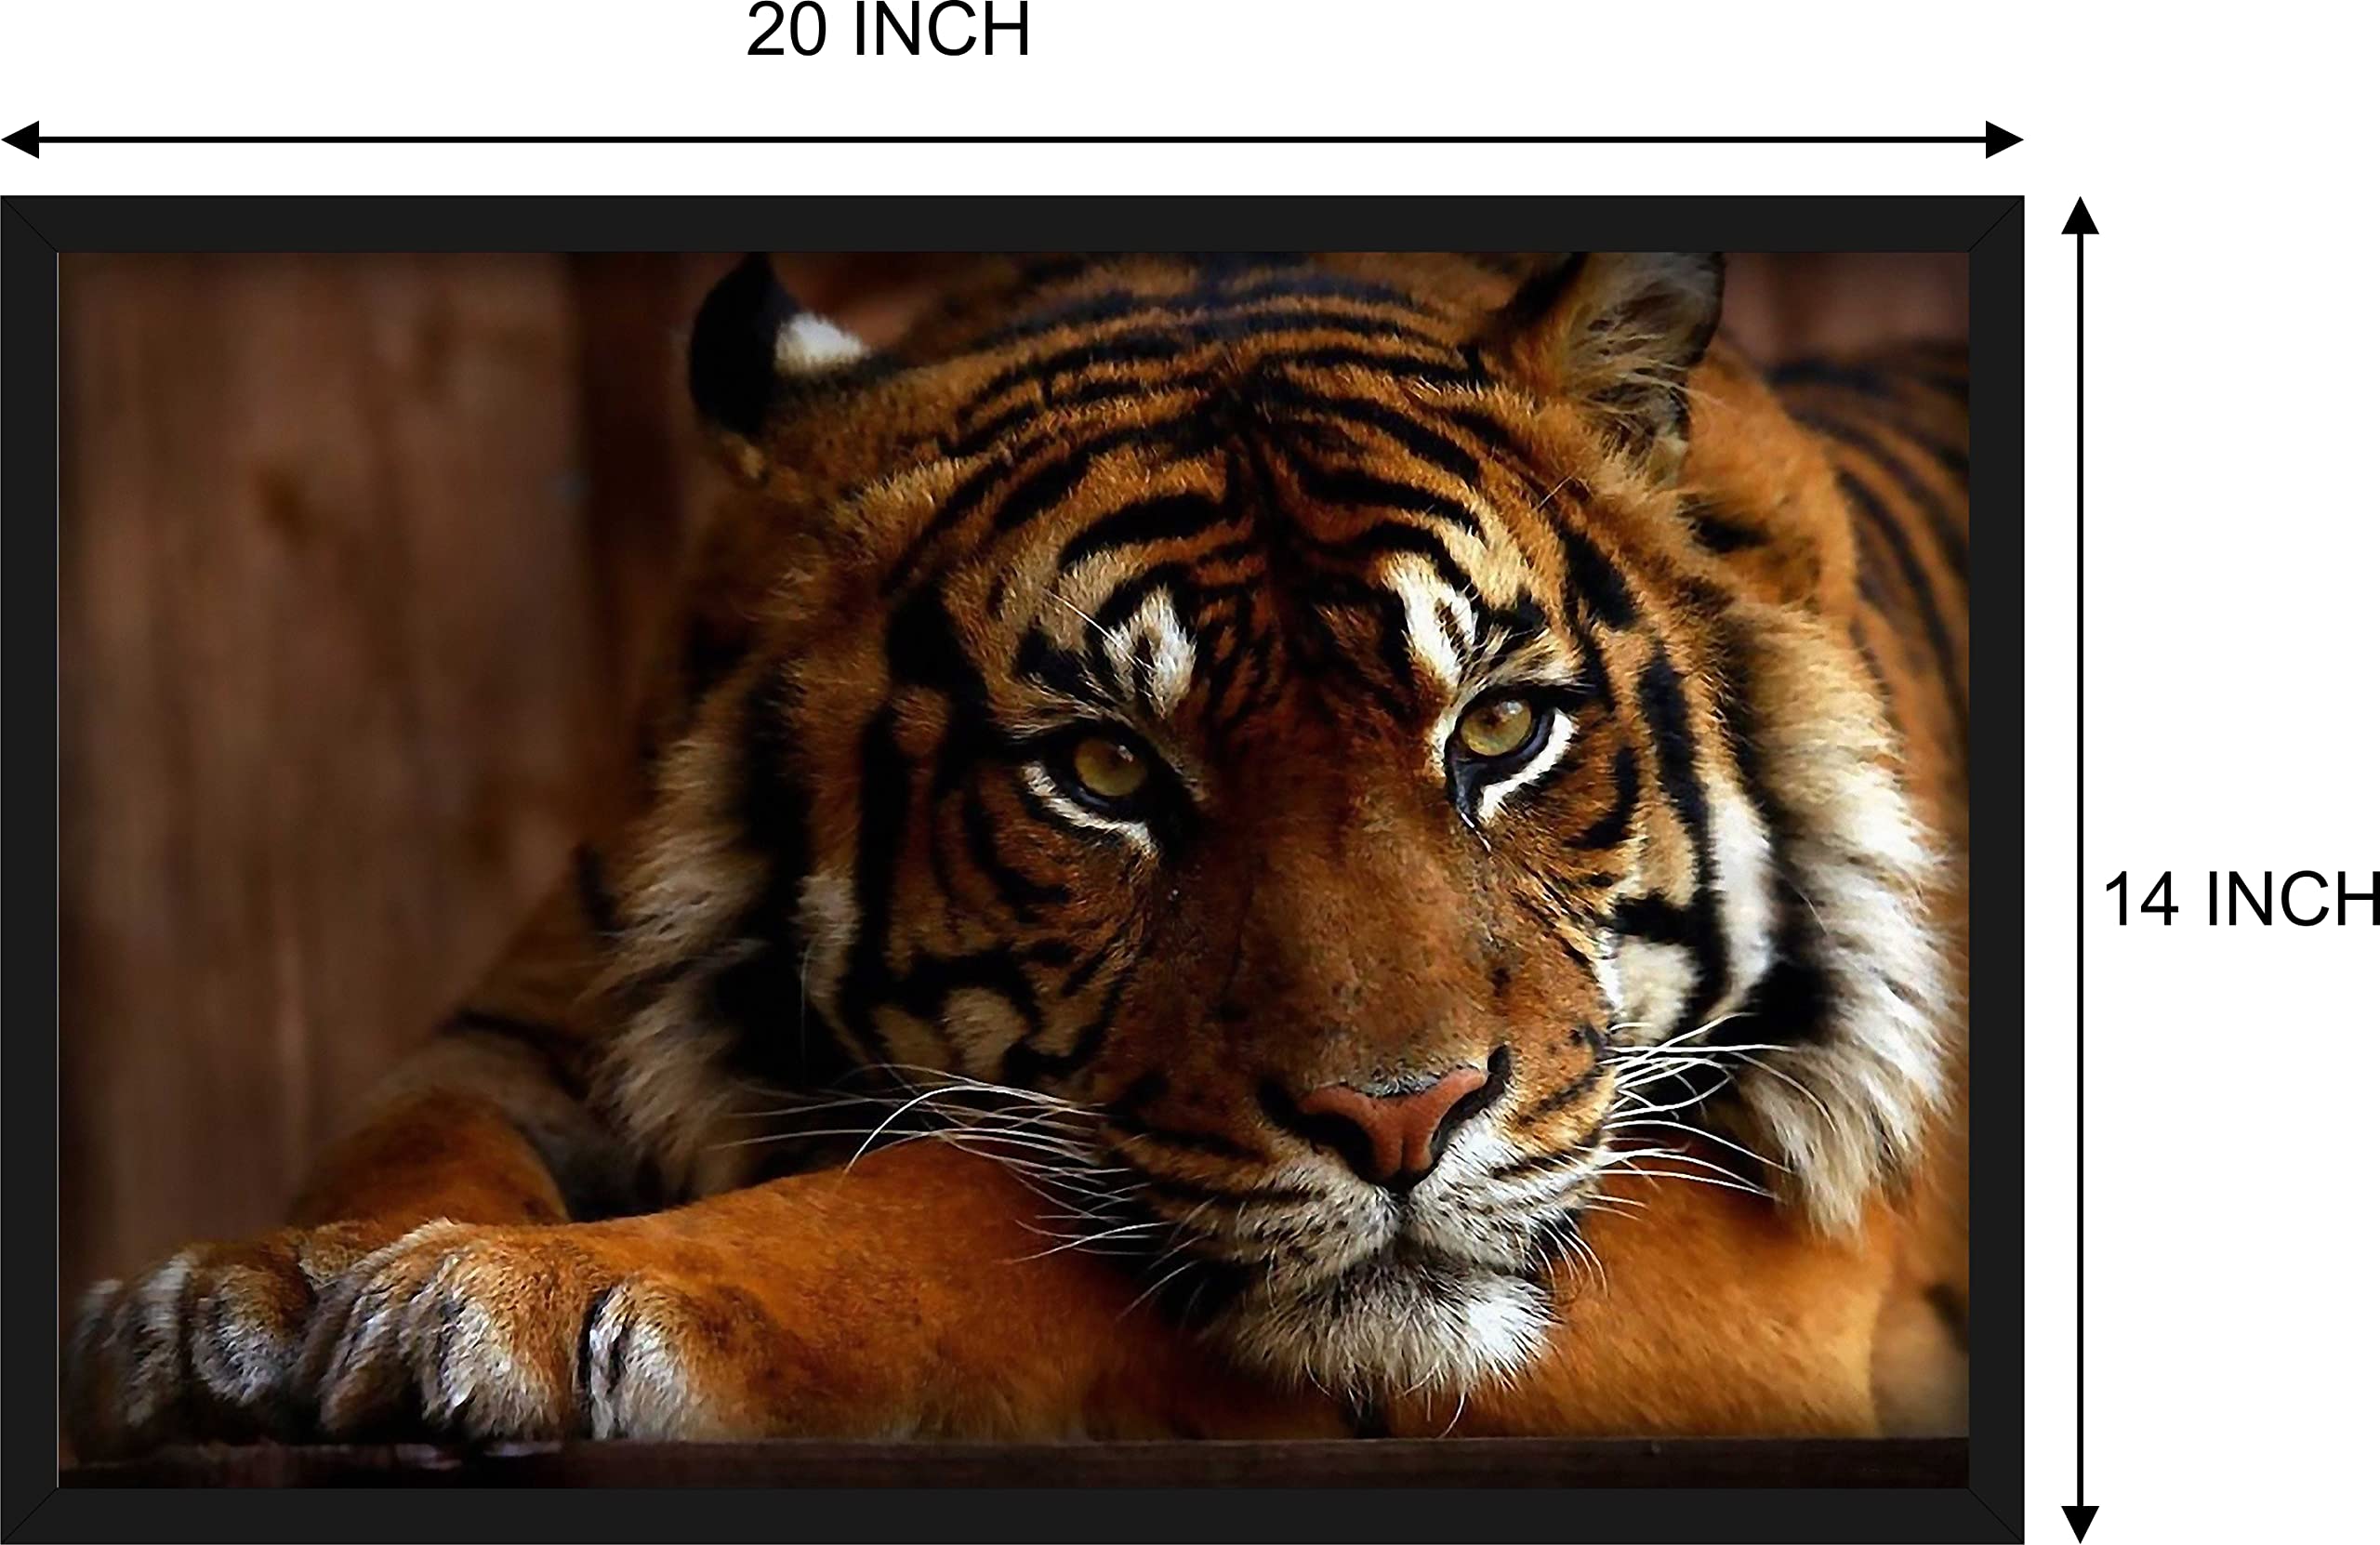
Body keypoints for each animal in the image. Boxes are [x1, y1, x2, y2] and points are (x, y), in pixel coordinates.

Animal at [64, 251, 1969, 1455]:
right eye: (1107, 769)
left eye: (1498, 731)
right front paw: (235, 1302)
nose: (1402, 1121)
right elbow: (408, 1133)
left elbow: (964, 1201)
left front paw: (537, 1299)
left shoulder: (1773, 1233)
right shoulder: (536, 1019)